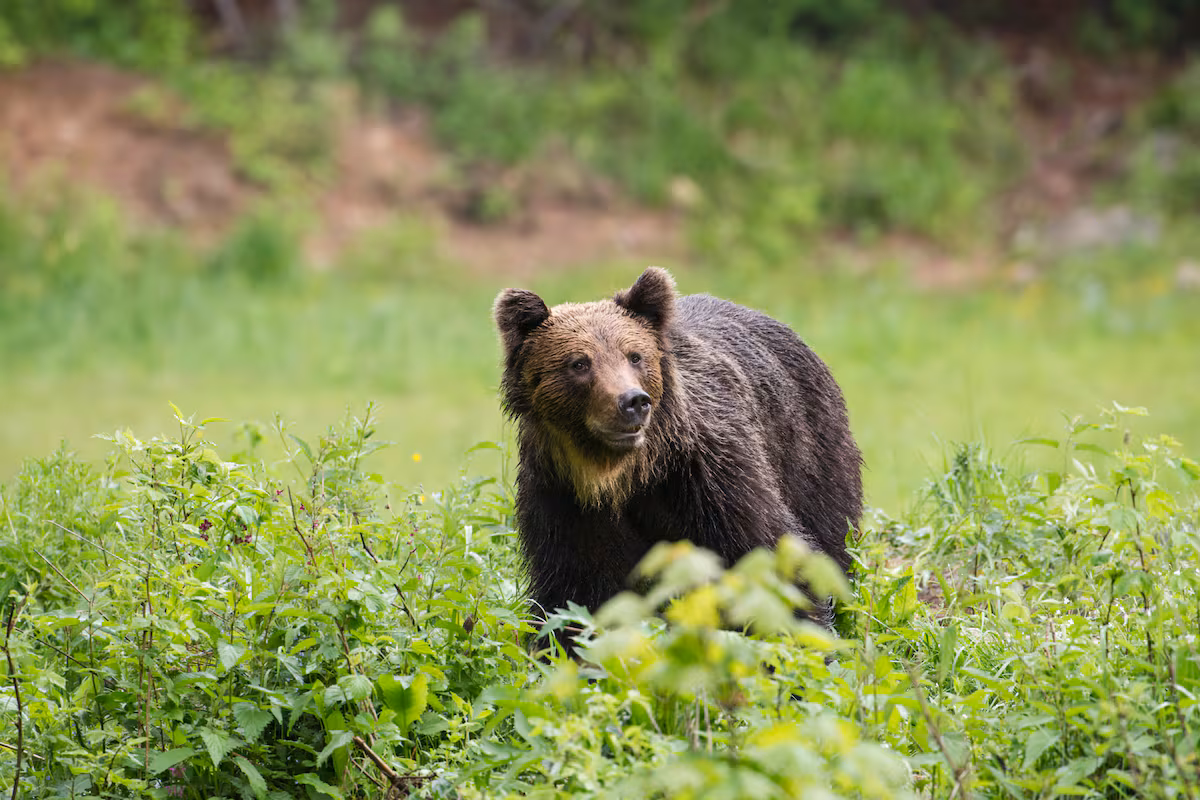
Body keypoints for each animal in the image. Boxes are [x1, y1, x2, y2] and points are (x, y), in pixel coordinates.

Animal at [493, 267, 862, 638]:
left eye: (635, 355)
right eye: (579, 362)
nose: (632, 401)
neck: (623, 477)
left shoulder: (710, 477)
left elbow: (770, 553)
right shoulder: (563, 499)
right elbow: (576, 594)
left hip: (810, 452)